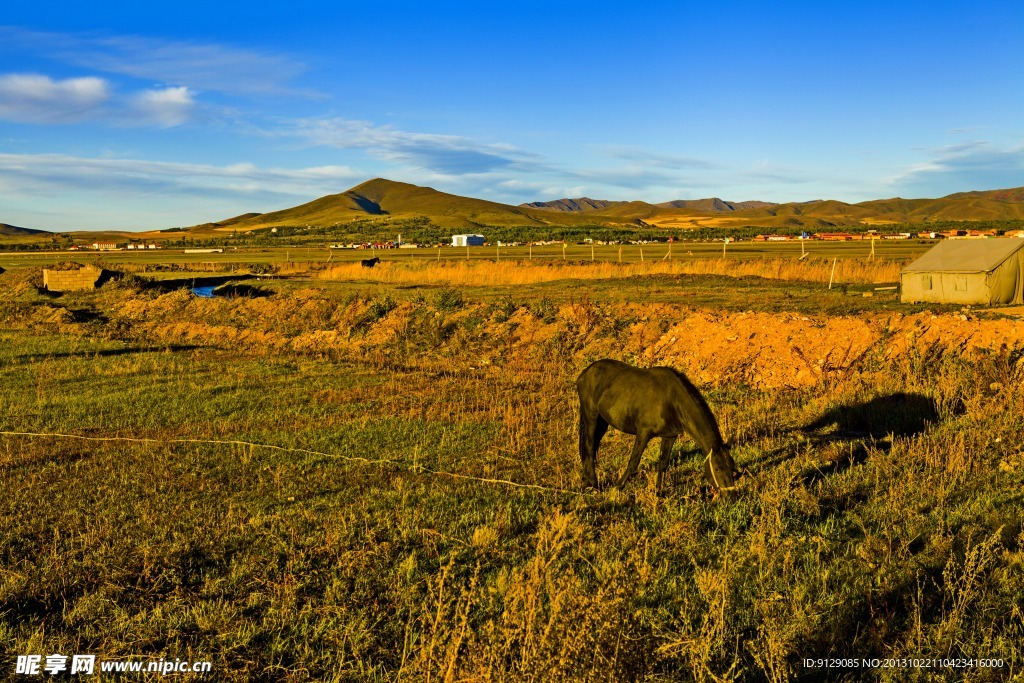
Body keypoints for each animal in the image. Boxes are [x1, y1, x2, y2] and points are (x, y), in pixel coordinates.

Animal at [577, 360, 737, 499]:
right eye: (717, 468)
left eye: (732, 466)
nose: (731, 496)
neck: (672, 401)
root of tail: (587, 371)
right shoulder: (643, 433)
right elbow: (633, 462)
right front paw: (616, 488)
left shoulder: (670, 436)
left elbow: (663, 463)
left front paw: (658, 491)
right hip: (591, 416)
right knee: (589, 447)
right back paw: (593, 485)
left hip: (603, 422)